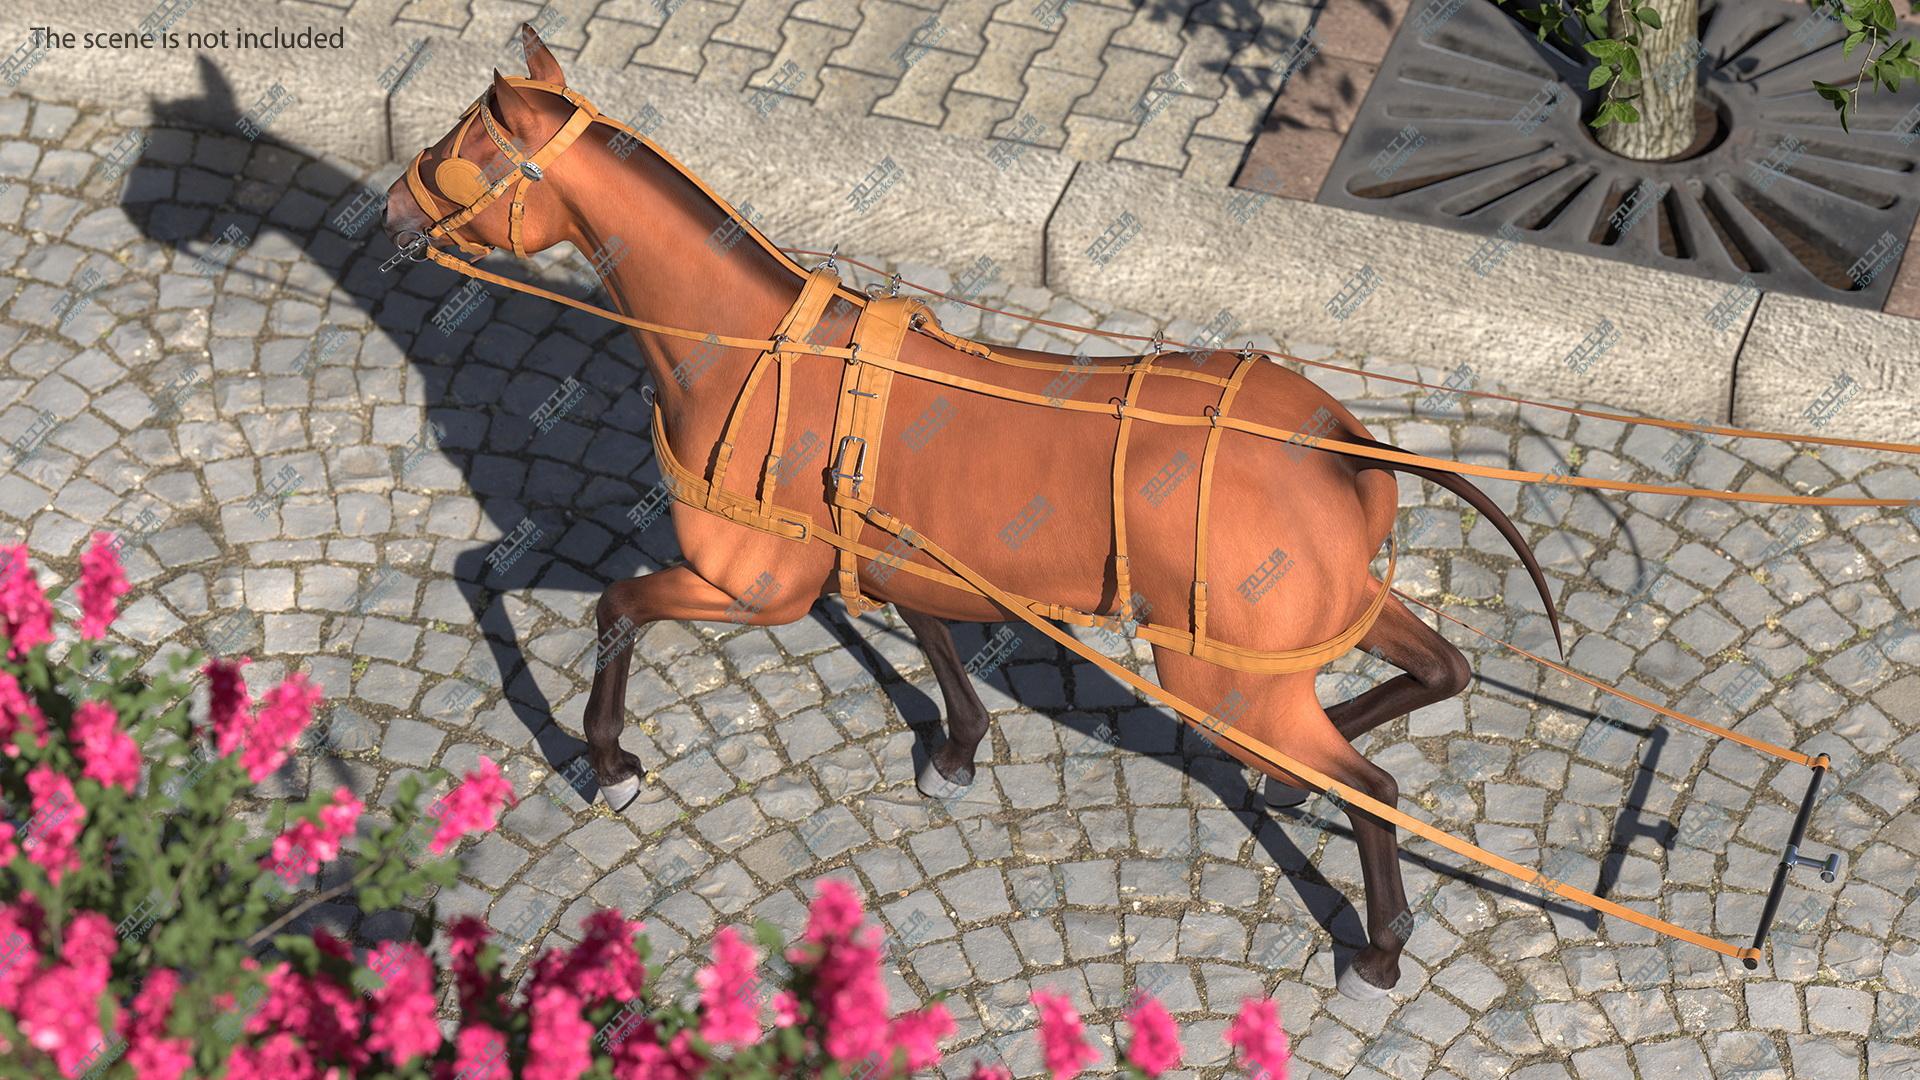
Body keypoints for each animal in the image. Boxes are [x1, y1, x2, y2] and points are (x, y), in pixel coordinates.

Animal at [380, 25, 1561, 1000]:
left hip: (1225, 670)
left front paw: (610, 764)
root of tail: (1340, 439)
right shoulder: (901, 556)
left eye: (465, 147)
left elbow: (610, 606)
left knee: (1374, 788)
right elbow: (935, 638)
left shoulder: (752, 589)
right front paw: (954, 752)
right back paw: (1293, 767)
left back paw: (1378, 947)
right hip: (1311, 632)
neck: (752, 353)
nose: (390, 207)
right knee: (1437, 674)